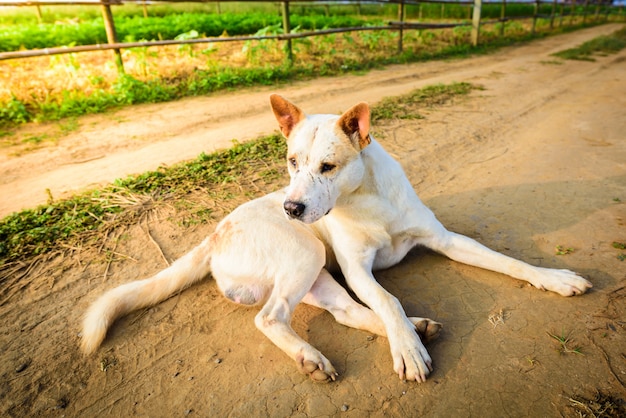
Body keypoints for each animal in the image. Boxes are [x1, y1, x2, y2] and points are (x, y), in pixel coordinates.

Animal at [79, 94, 588, 382]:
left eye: (327, 166)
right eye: (291, 161)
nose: (291, 208)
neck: (367, 197)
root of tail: (215, 234)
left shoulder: (445, 240)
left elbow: (507, 261)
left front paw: (554, 278)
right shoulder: (358, 270)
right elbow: (388, 299)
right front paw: (407, 352)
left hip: (318, 276)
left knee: (347, 313)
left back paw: (416, 329)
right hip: (306, 253)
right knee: (271, 318)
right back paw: (323, 354)